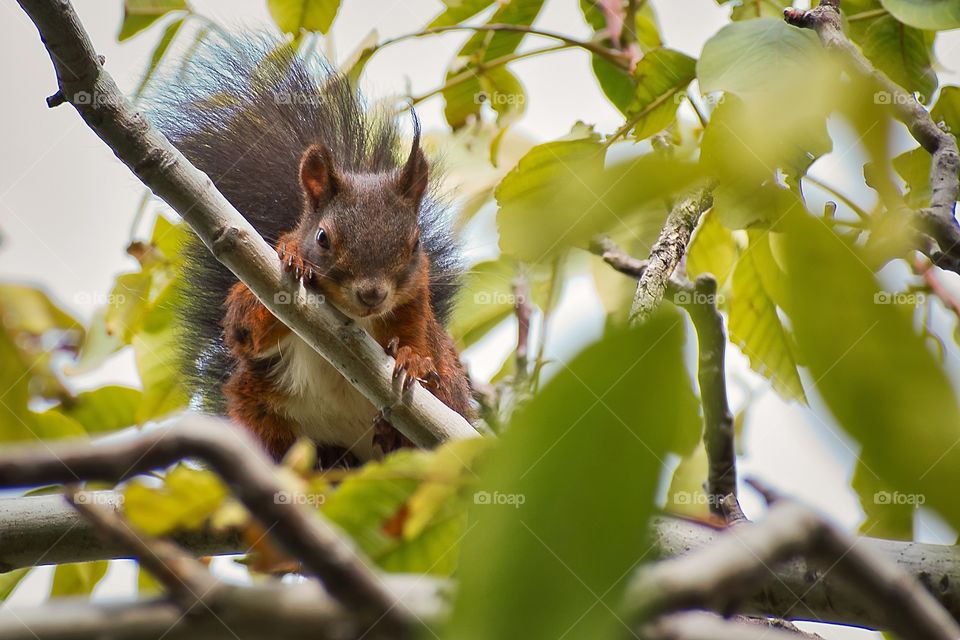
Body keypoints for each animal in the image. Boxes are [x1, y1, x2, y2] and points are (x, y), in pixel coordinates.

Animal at [151, 37, 476, 464]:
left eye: (415, 244)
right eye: (322, 238)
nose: (372, 294)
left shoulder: (416, 312)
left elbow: (429, 362)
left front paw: (413, 361)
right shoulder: (251, 308)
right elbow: (245, 328)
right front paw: (294, 256)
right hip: (262, 414)